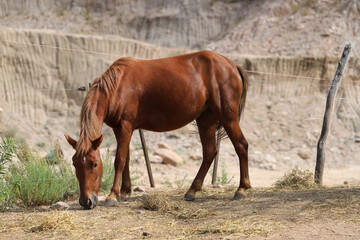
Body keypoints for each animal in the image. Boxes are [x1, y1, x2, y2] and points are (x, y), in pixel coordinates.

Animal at [64, 51, 249, 210]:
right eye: (74, 163)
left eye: (95, 164)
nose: (86, 201)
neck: (117, 86)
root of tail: (232, 66)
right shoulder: (119, 129)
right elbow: (127, 159)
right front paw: (124, 192)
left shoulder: (125, 126)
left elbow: (119, 160)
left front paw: (112, 196)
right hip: (205, 121)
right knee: (210, 152)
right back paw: (192, 191)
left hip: (227, 117)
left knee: (241, 145)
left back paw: (241, 189)